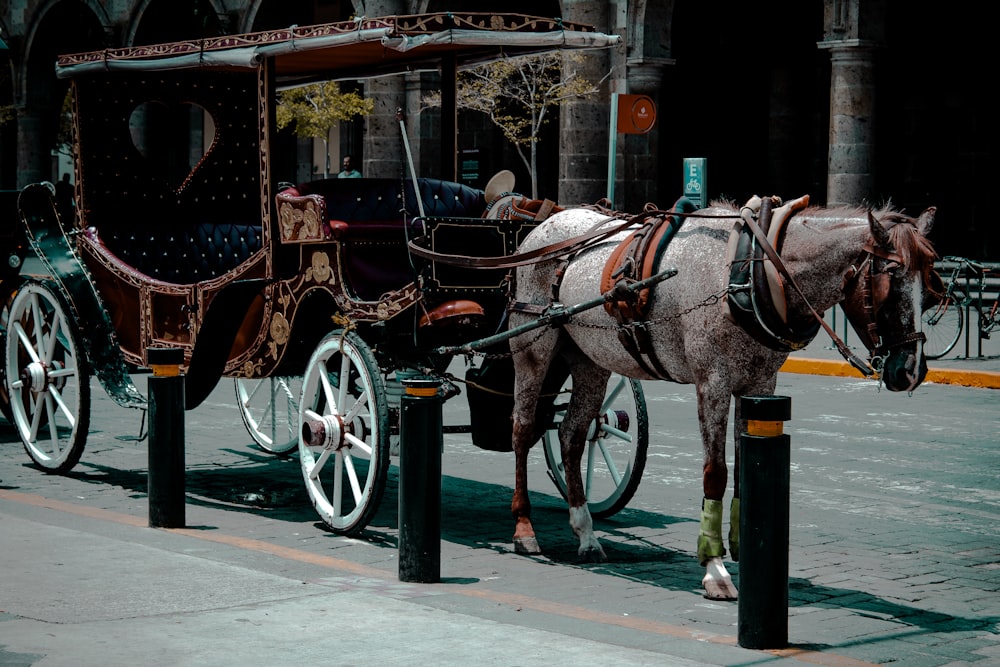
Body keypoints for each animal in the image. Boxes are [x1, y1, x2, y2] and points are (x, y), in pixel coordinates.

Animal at [508, 197, 936, 600]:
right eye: (891, 281)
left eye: (930, 288)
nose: (911, 371)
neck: (750, 269)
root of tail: (544, 225)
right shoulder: (712, 382)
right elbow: (716, 474)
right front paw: (714, 568)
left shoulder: (760, 384)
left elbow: (748, 470)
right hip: (533, 349)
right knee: (523, 429)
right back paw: (525, 528)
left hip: (589, 359)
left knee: (571, 436)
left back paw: (586, 534)